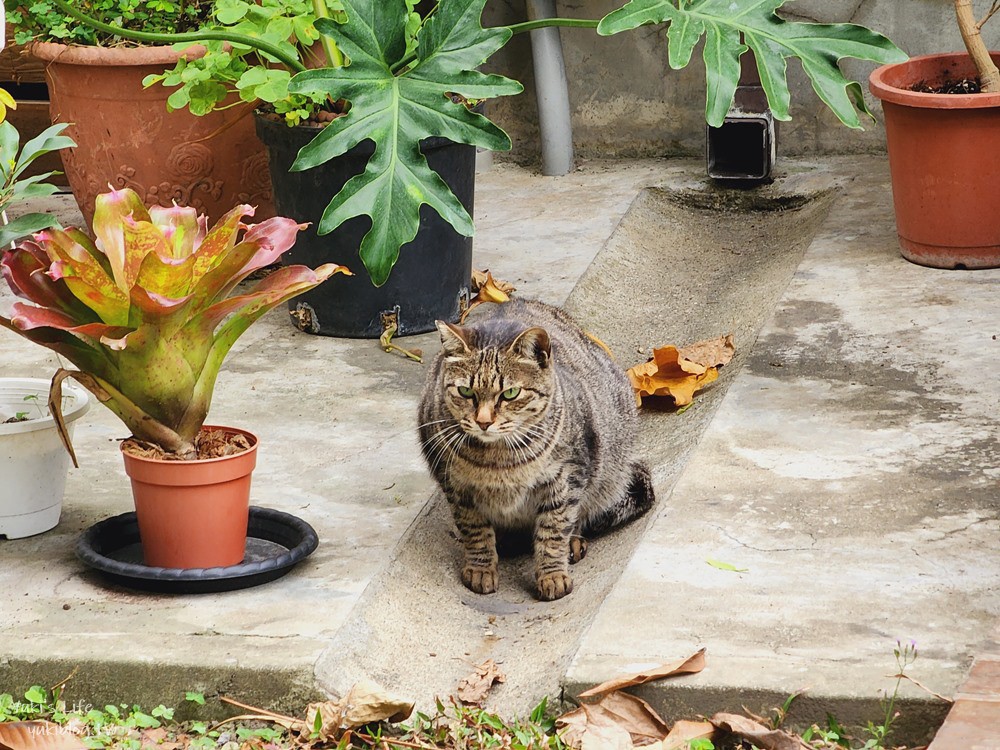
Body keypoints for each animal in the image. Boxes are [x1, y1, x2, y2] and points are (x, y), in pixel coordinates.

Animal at [416, 296, 656, 604]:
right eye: (466, 392)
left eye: (510, 394)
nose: (483, 421)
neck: (498, 460)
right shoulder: (456, 487)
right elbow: (474, 530)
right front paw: (481, 567)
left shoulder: (566, 478)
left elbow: (554, 530)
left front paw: (552, 575)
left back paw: (573, 541)